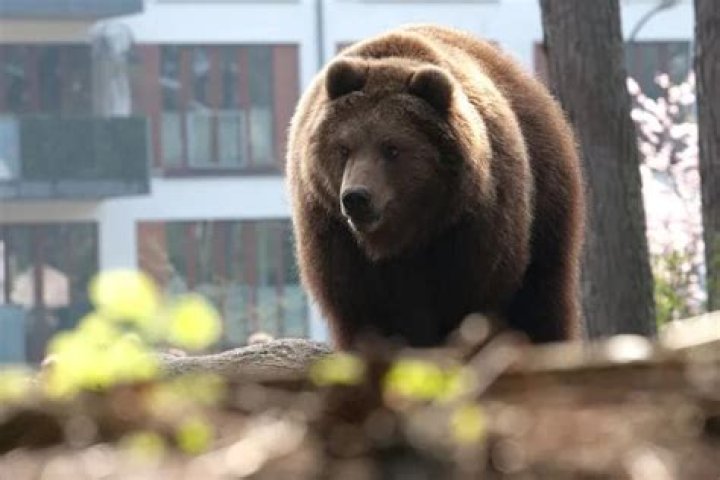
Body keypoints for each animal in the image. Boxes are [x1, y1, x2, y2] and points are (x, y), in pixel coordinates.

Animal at [286, 24, 585, 349]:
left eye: (392, 148)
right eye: (344, 148)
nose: (356, 197)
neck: (404, 238)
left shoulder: (471, 232)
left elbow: (468, 303)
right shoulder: (337, 240)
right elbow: (365, 313)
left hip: (546, 208)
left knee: (542, 297)